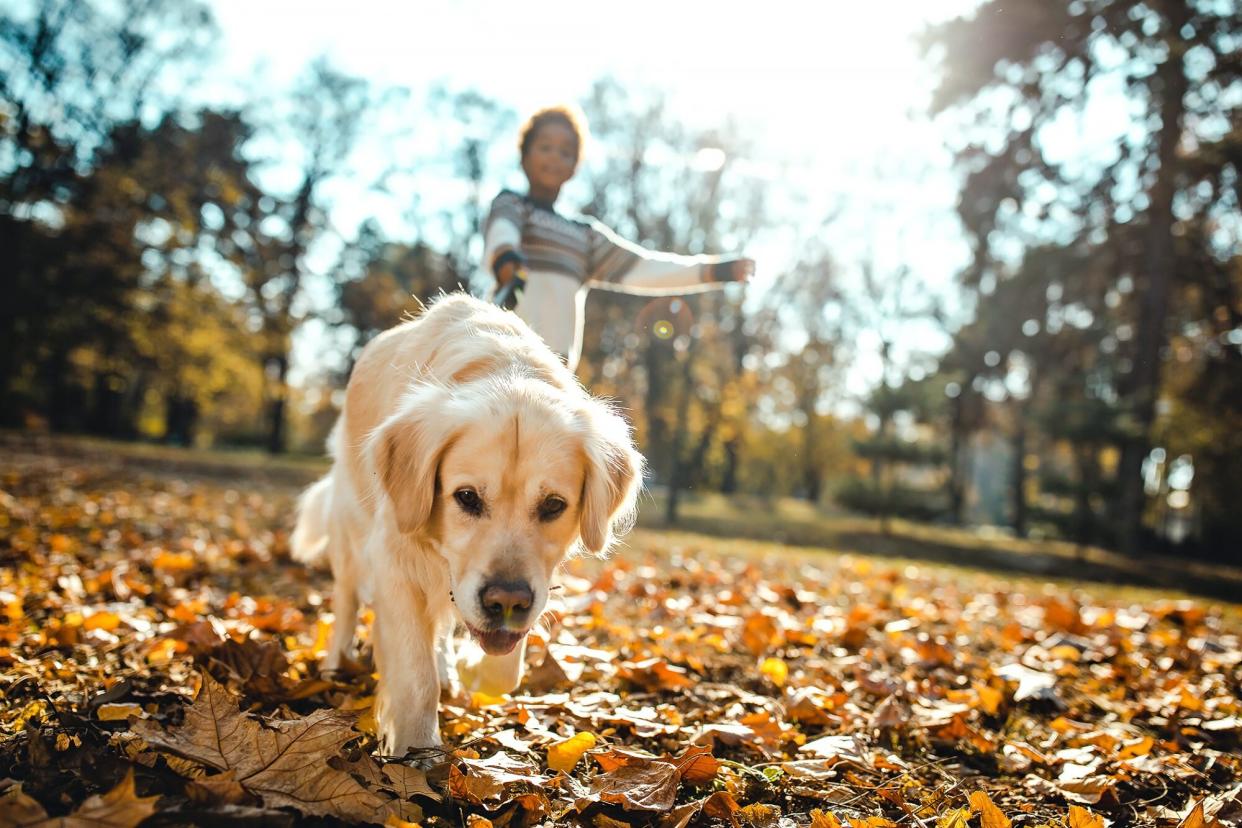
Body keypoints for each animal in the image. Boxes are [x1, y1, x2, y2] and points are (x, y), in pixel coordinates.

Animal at [290, 292, 640, 759]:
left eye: (553, 505)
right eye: (467, 497)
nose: (506, 602)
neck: (504, 368)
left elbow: (506, 669)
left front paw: (472, 672)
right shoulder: (394, 562)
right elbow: (415, 678)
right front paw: (417, 753)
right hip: (350, 531)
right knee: (346, 603)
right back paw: (334, 666)